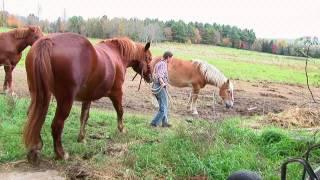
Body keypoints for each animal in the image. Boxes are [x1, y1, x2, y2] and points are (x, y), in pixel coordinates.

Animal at [23, 33, 151, 164]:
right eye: (149, 58)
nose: (151, 77)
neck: (118, 54)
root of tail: (47, 41)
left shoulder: (88, 97)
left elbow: (84, 116)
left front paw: (81, 138)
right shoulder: (117, 93)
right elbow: (120, 111)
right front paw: (122, 129)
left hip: (37, 95)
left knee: (33, 116)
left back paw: (34, 149)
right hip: (65, 100)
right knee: (57, 125)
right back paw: (61, 154)